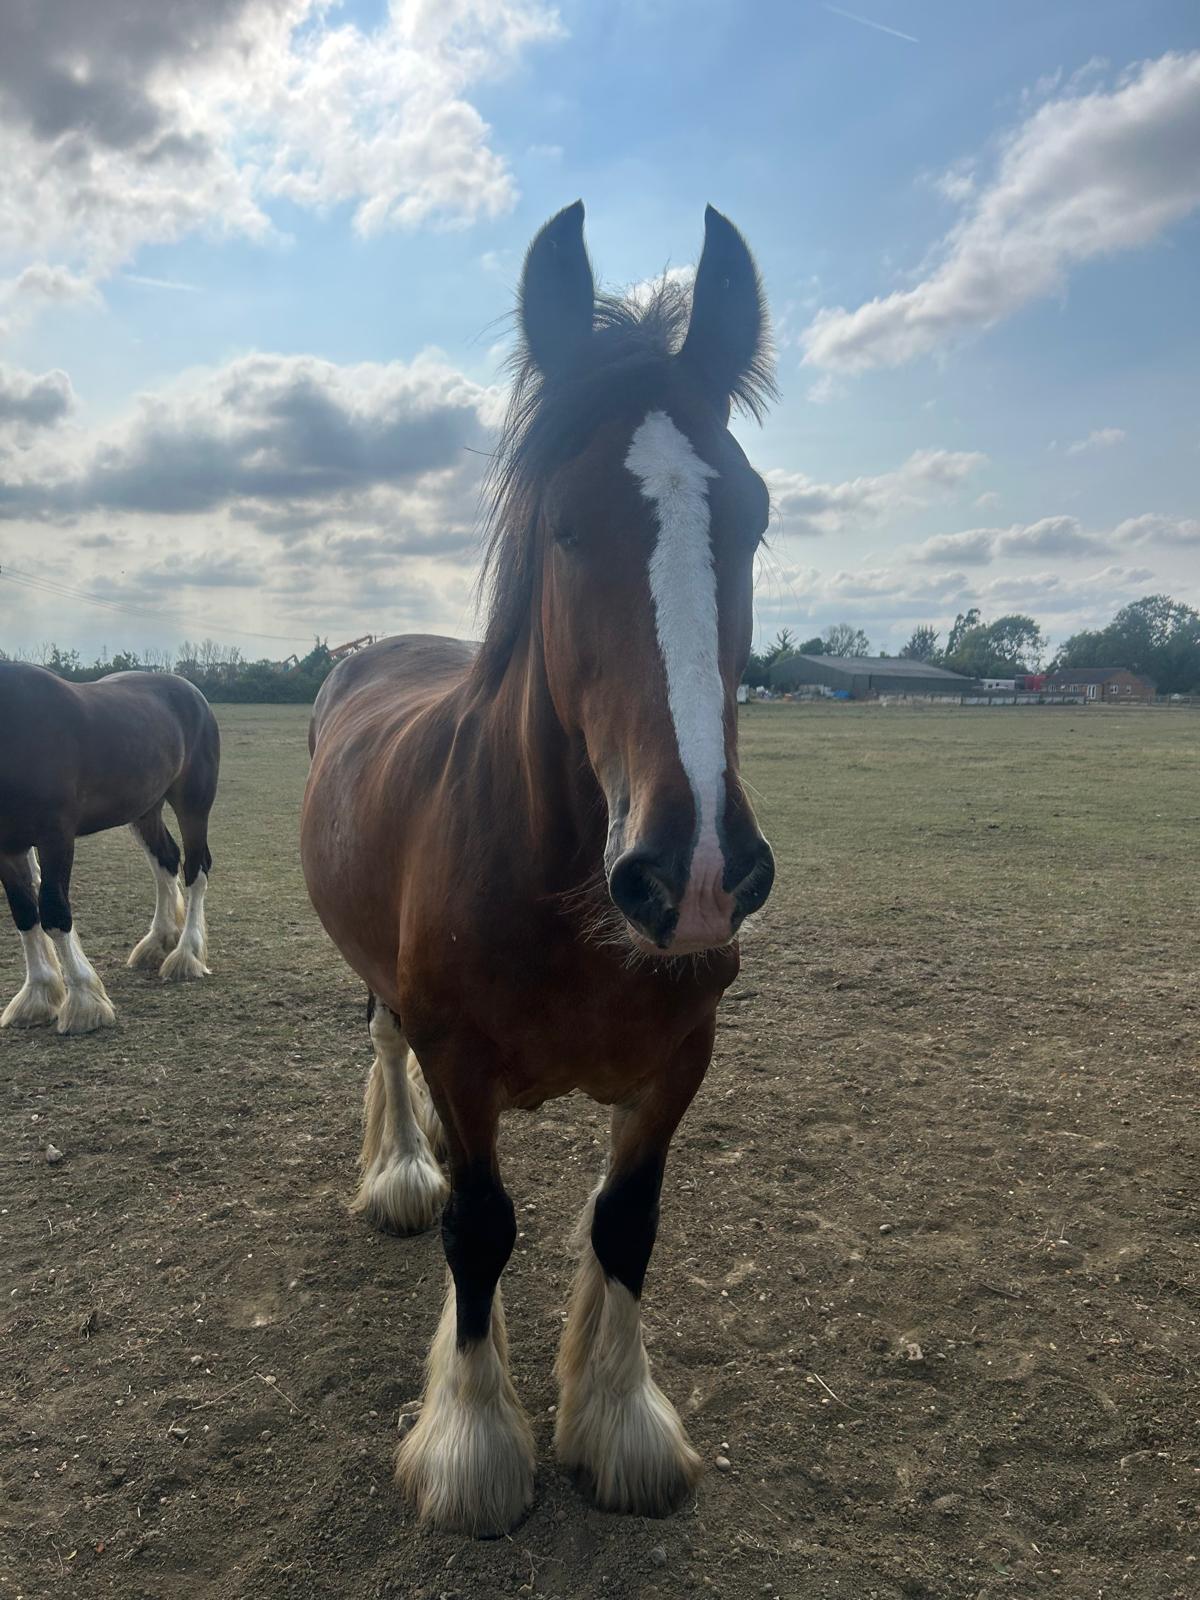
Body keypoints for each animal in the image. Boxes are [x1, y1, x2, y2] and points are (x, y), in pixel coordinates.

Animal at [0, 663, 219, 1035]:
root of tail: (193, 693)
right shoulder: (7, 846)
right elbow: (26, 914)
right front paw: (37, 995)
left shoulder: (56, 836)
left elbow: (54, 912)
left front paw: (84, 1002)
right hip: (145, 809)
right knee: (166, 861)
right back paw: (158, 942)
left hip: (193, 805)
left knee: (195, 870)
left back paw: (186, 955)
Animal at [301, 201, 776, 1536]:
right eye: (565, 524)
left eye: (754, 516)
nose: (695, 872)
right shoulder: (459, 1058)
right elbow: (482, 1227)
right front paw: (472, 1444)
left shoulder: (678, 1059)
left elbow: (626, 1223)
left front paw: (618, 1422)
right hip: (381, 984)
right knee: (384, 1052)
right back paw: (398, 1172)